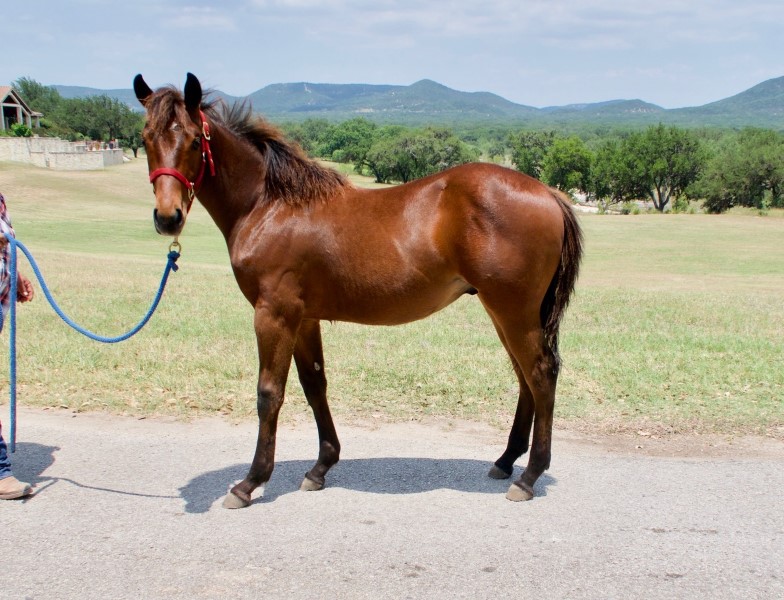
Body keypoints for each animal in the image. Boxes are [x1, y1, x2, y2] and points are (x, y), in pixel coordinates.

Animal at [133, 72, 580, 508]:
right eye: (146, 137)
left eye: (195, 140)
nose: (168, 218)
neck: (269, 206)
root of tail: (549, 193)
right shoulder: (304, 317)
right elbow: (315, 386)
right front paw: (320, 468)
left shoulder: (273, 314)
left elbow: (268, 394)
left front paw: (250, 482)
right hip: (505, 312)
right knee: (525, 377)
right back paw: (506, 461)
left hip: (513, 311)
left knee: (541, 374)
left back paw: (529, 476)